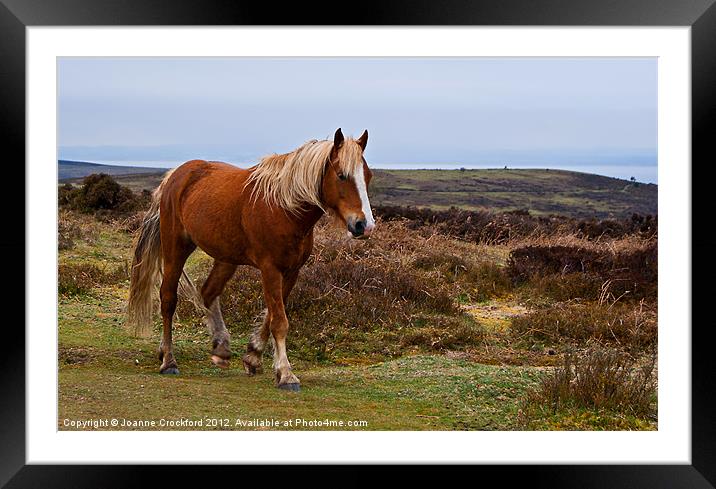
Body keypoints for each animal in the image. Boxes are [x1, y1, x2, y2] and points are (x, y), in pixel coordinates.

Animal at [126, 127, 374, 390]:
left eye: (367, 176)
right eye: (342, 175)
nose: (364, 226)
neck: (284, 208)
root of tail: (175, 175)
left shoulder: (291, 271)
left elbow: (271, 316)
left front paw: (253, 357)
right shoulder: (270, 269)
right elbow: (279, 321)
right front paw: (286, 374)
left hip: (226, 258)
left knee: (208, 292)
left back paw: (220, 348)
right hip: (176, 248)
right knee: (168, 299)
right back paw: (168, 360)